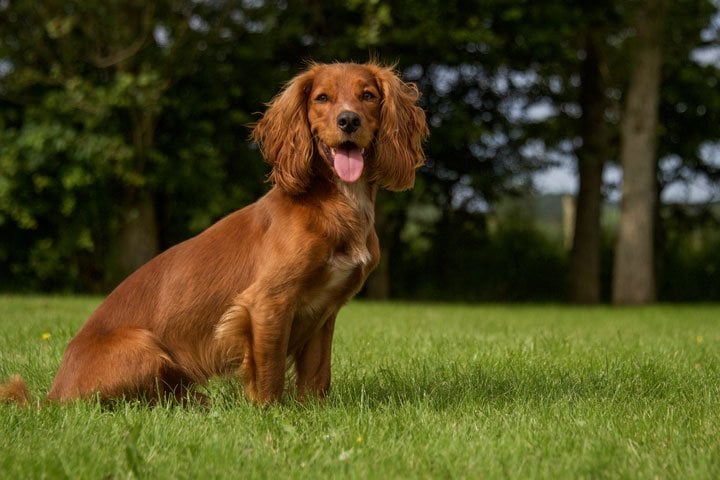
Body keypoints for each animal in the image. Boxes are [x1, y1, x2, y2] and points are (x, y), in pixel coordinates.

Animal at [0, 60, 428, 404]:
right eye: (322, 98)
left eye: (368, 95)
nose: (348, 121)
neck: (336, 200)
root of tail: (52, 396)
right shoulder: (267, 303)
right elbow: (270, 371)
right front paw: (272, 415)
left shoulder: (325, 311)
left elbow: (317, 375)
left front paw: (315, 414)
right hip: (145, 346)